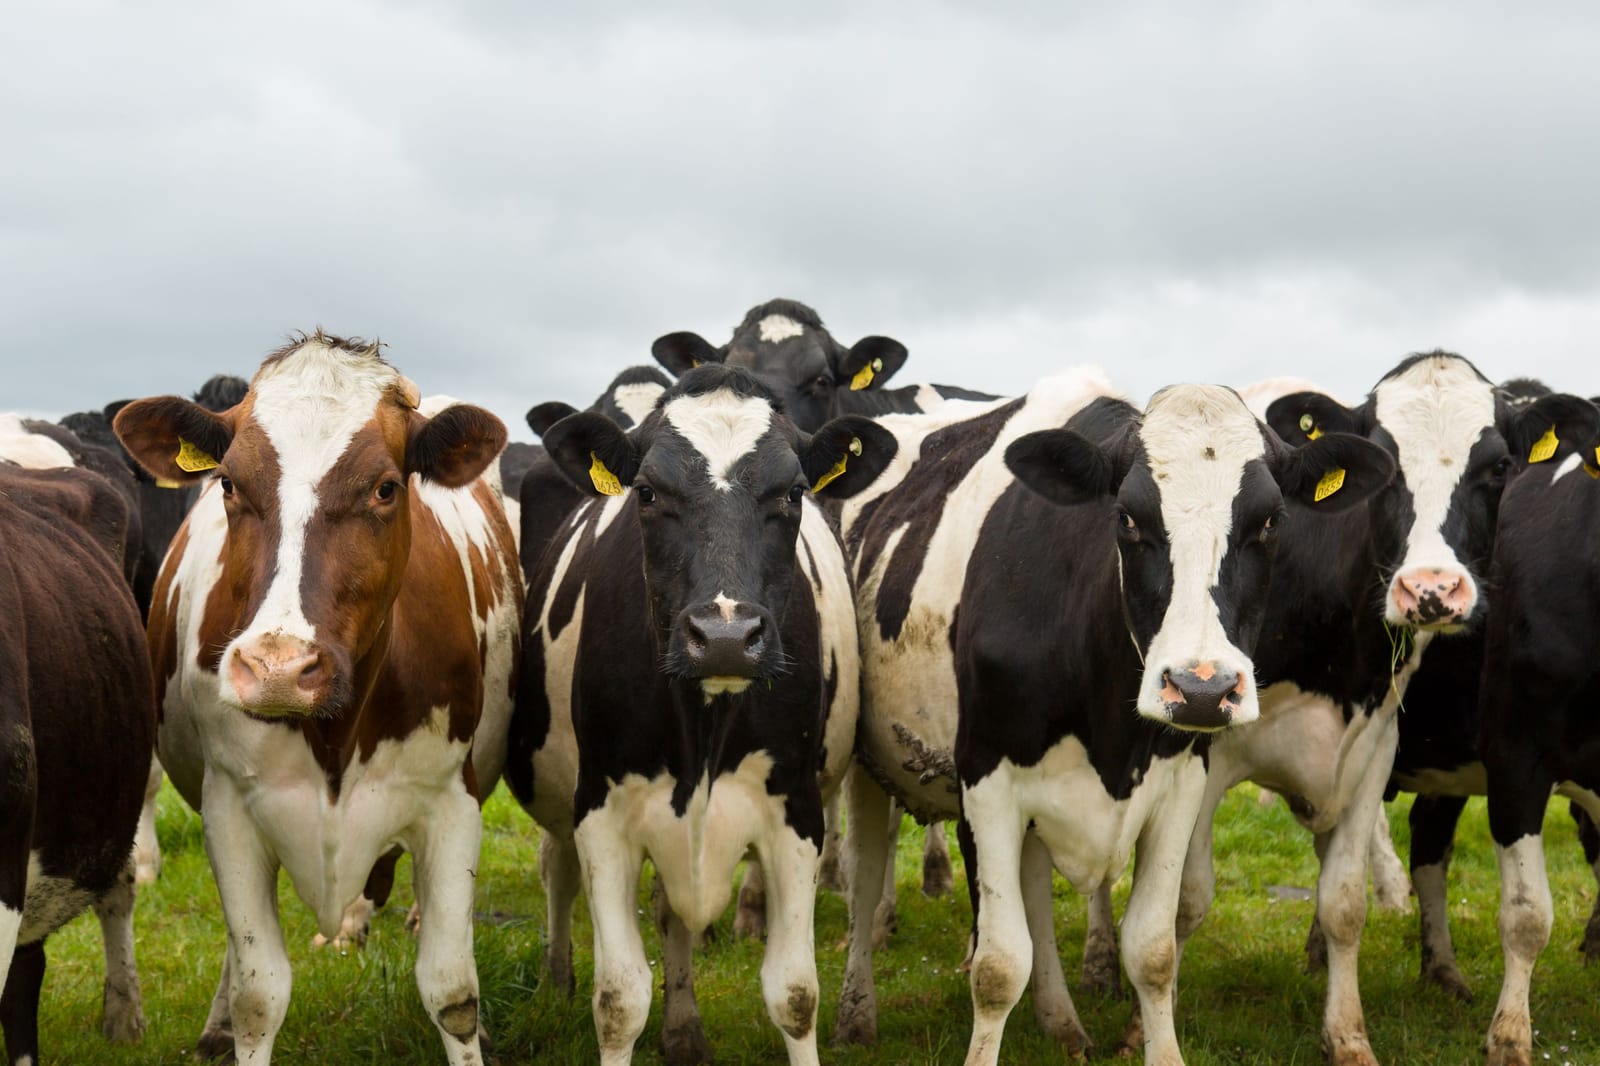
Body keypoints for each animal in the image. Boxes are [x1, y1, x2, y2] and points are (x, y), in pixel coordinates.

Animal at [114, 331, 522, 1065]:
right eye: (229, 483)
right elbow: (259, 993)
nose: (277, 668)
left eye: (386, 487)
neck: (337, 732)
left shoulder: (453, 801)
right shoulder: (230, 808)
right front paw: (234, 1023)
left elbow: (452, 990)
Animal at [509, 364, 894, 1064]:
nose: (724, 635)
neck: (705, 725)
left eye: (793, 492)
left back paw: (684, 1029)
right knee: (560, 870)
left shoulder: (797, 811)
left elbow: (795, 993)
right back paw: (556, 981)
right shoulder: (601, 811)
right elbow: (619, 1000)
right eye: (646, 492)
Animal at [834, 370, 1394, 1064]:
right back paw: (856, 1014)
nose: (1201, 688)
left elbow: (1152, 951)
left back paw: (1060, 1022)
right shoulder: (986, 782)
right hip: (865, 764)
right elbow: (998, 965)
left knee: (1035, 893)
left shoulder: (1182, 784)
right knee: (863, 878)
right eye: (1127, 518)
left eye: (1269, 523)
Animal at [1165, 354, 1598, 1066]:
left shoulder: (1373, 750)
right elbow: (1182, 899)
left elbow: (1346, 900)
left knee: (1426, 843)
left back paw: (1438, 970)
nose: (1431, 590)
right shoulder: (1516, 756)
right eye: (1385, 467)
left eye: (1499, 467)